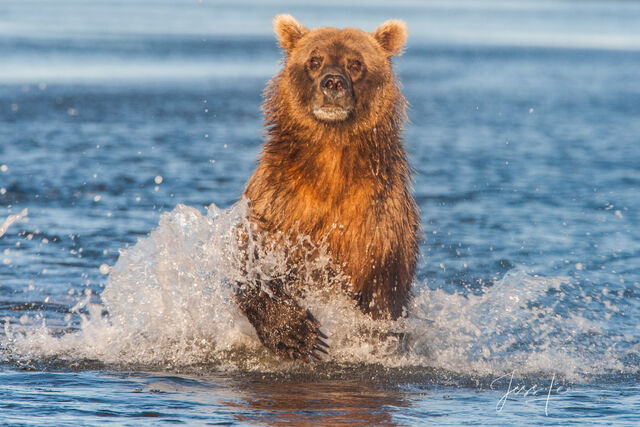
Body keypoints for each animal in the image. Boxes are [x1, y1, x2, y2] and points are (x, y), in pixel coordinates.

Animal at [235, 16, 420, 362]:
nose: (332, 82)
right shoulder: (279, 201)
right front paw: (296, 334)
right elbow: (253, 262)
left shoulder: (377, 219)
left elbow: (382, 288)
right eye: (314, 60)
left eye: (355, 63)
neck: (331, 162)